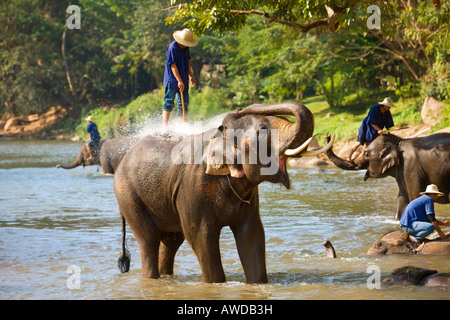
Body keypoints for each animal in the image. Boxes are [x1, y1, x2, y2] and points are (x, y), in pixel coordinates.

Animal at [114, 102, 336, 282]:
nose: (237, 110)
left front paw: (258, 284)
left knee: (171, 242)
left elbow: (252, 234)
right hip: (128, 195)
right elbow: (201, 237)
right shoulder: (193, 188)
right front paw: (217, 284)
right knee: (149, 239)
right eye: (263, 131)